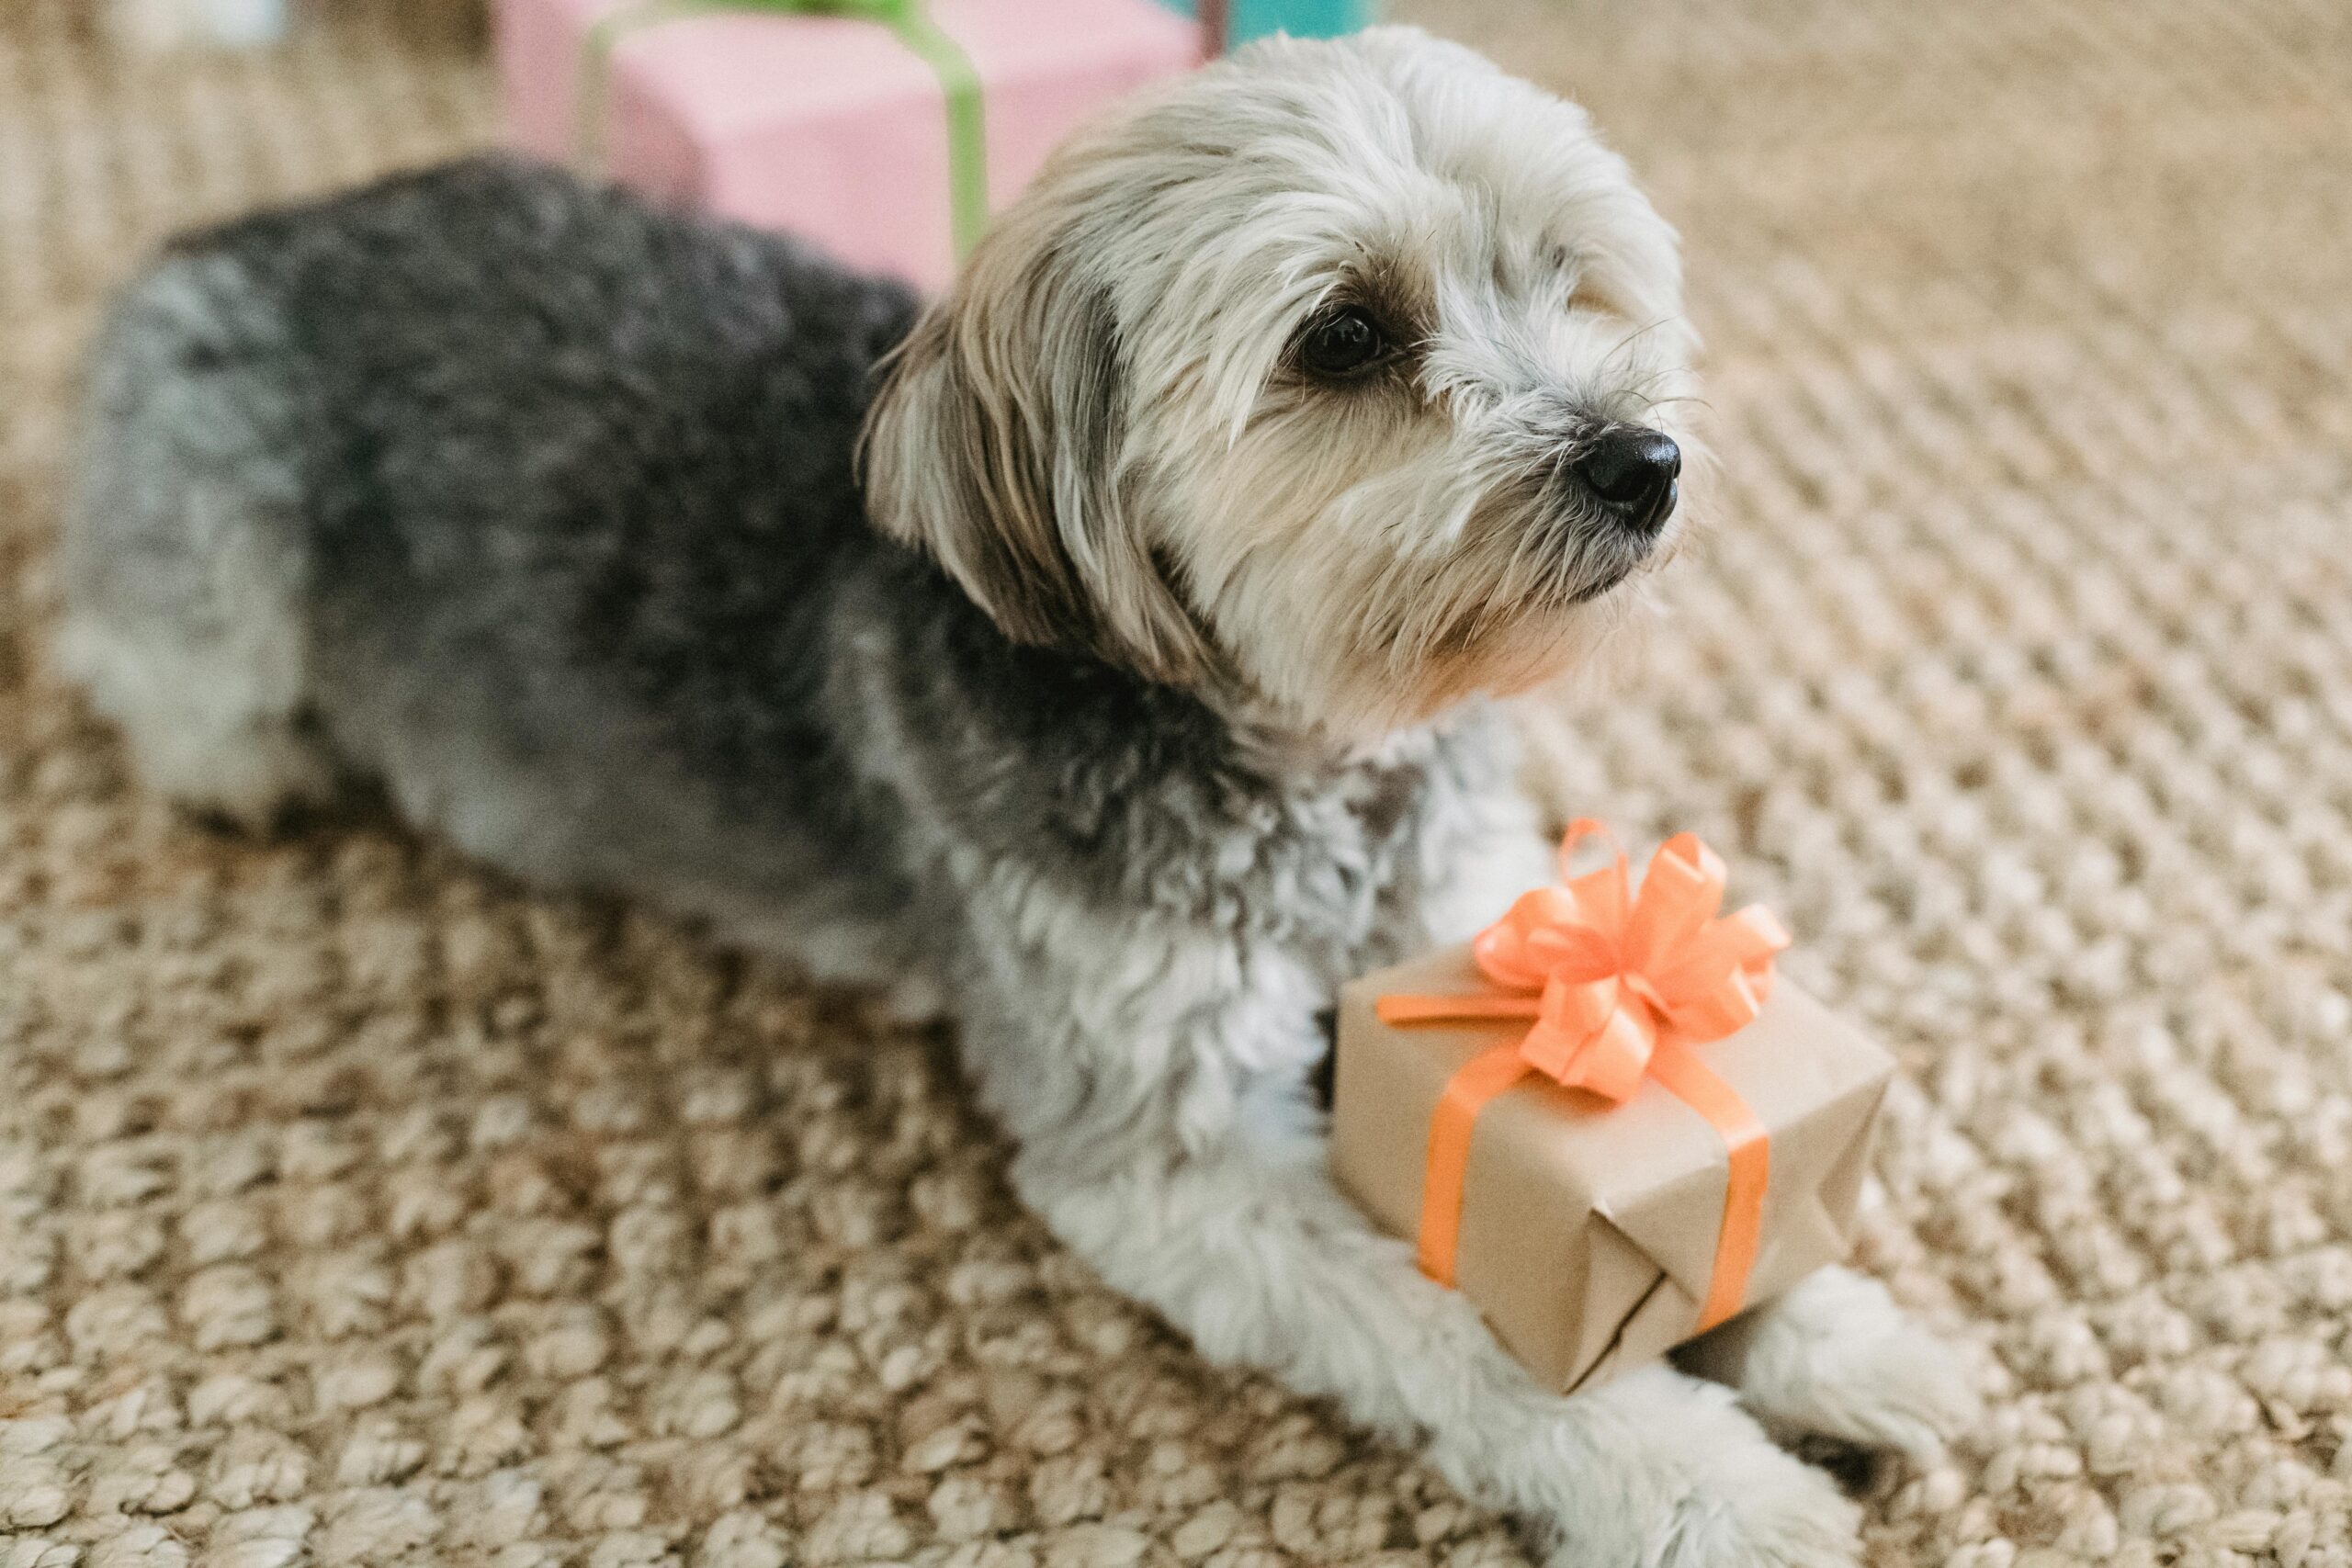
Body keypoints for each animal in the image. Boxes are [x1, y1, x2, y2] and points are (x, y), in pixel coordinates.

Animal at [59, 28, 1966, 1568]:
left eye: (1570, 274)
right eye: (1346, 336)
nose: (1643, 462)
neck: (1290, 748)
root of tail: (231, 235)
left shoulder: (1480, 927)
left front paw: (1838, 1333)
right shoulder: (1174, 1161)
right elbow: (1477, 1333)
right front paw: (1705, 1479)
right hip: (217, 556)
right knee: (152, 674)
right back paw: (269, 762)